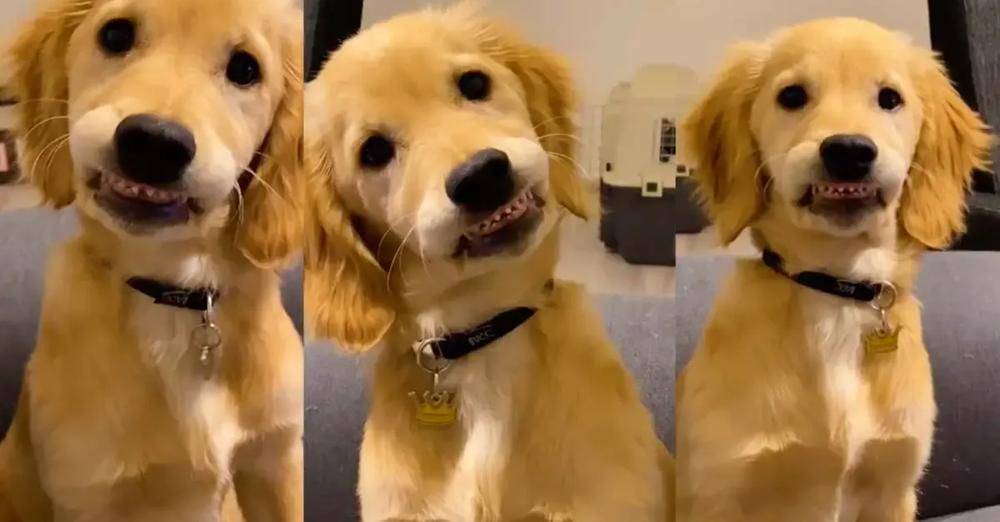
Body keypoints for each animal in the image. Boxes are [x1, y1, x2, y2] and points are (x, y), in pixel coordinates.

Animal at [0, 1, 304, 520]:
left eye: (245, 69)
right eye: (115, 34)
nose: (154, 143)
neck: (175, 295)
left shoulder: (277, 462)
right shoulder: (87, 493)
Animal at [676, 16, 996, 520]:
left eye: (890, 98)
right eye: (791, 96)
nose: (848, 150)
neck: (837, 290)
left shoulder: (894, 486)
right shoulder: (719, 492)